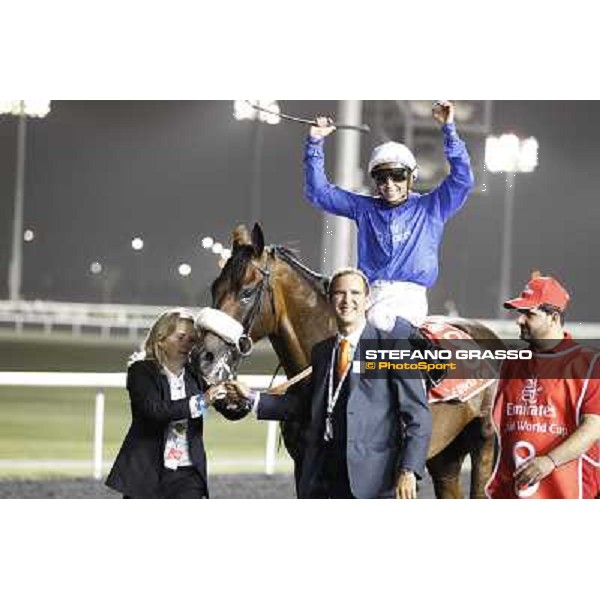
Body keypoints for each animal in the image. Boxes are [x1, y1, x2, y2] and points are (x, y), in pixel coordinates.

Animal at [196, 223, 502, 500]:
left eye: (247, 292)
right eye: (214, 288)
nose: (204, 359)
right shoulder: (306, 467)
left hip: (484, 441)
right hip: (446, 456)